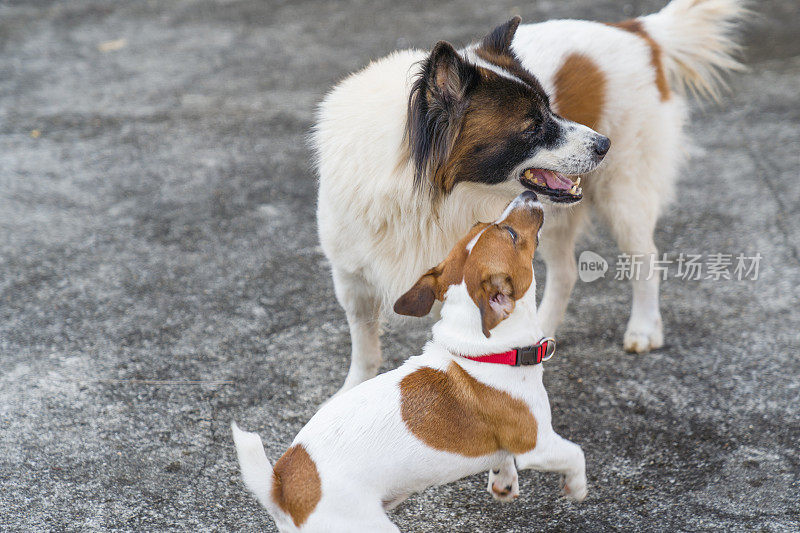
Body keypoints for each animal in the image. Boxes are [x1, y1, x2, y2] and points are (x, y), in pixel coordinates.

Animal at [231, 192, 588, 532]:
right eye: (512, 234)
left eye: (483, 223)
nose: (528, 194)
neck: (483, 352)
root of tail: (281, 489)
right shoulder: (538, 445)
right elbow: (575, 454)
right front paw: (577, 488)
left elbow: (501, 459)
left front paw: (503, 482)